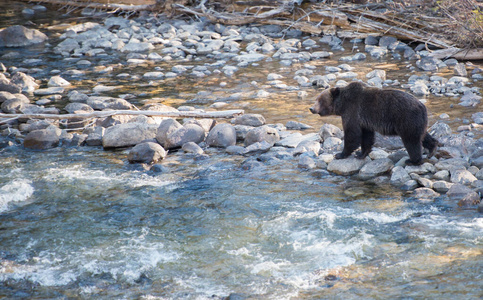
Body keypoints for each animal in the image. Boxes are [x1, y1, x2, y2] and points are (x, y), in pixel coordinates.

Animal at [310, 82, 438, 165]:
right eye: (316, 99)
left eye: (320, 100)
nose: (311, 108)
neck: (342, 105)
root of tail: (422, 106)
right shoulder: (364, 121)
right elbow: (367, 137)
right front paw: (361, 154)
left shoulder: (352, 111)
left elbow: (352, 134)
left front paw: (340, 154)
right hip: (417, 121)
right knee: (422, 135)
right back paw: (432, 149)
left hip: (406, 118)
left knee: (411, 141)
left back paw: (412, 160)